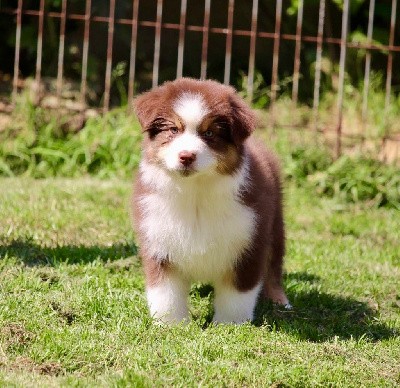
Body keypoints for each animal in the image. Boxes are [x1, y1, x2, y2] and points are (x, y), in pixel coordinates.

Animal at [133, 78, 290, 324]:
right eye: (173, 129)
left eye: (209, 133)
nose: (186, 156)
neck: (195, 193)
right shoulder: (158, 241)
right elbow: (166, 293)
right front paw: (171, 324)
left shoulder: (249, 241)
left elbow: (237, 293)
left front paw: (229, 324)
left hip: (275, 227)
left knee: (273, 267)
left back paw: (280, 300)